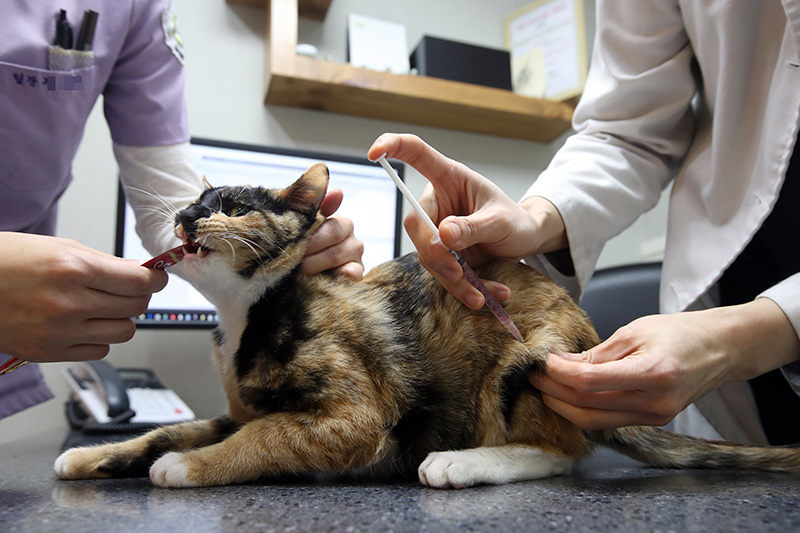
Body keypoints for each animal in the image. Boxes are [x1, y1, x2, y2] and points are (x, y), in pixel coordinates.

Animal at [53, 164, 800, 488]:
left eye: (232, 206)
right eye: (193, 201)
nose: (183, 217)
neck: (247, 315)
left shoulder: (353, 417)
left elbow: (261, 439)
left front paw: (189, 467)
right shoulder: (240, 406)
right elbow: (171, 428)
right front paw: (93, 456)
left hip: (524, 360)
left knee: (561, 450)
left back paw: (461, 462)